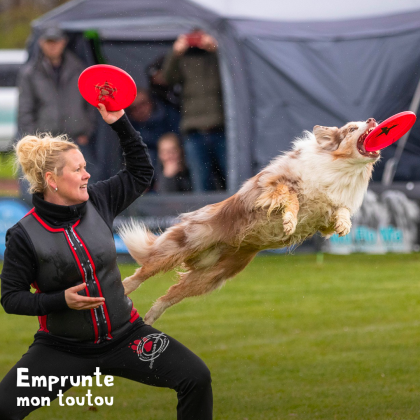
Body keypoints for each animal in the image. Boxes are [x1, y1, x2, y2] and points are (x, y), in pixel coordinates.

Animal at [119, 118, 380, 324]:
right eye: (351, 128)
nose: (372, 119)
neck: (342, 169)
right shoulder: (274, 184)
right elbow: (292, 198)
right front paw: (289, 221)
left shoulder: (324, 215)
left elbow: (340, 210)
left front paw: (344, 224)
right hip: (183, 244)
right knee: (142, 272)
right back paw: (123, 290)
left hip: (212, 277)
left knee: (170, 294)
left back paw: (150, 317)